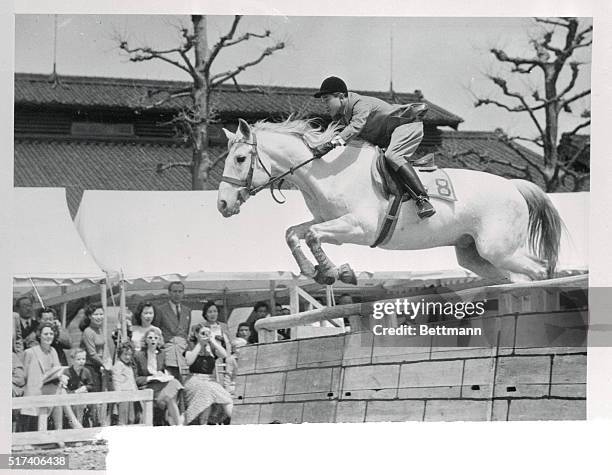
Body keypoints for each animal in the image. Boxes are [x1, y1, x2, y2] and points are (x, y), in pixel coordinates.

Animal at [218, 118, 560, 286]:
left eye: (240, 158)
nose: (222, 205)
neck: (325, 171)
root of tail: (513, 187)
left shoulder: (360, 228)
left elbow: (313, 236)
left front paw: (334, 272)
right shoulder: (329, 222)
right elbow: (294, 233)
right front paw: (317, 272)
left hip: (497, 248)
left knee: (539, 270)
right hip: (475, 255)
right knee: (516, 275)